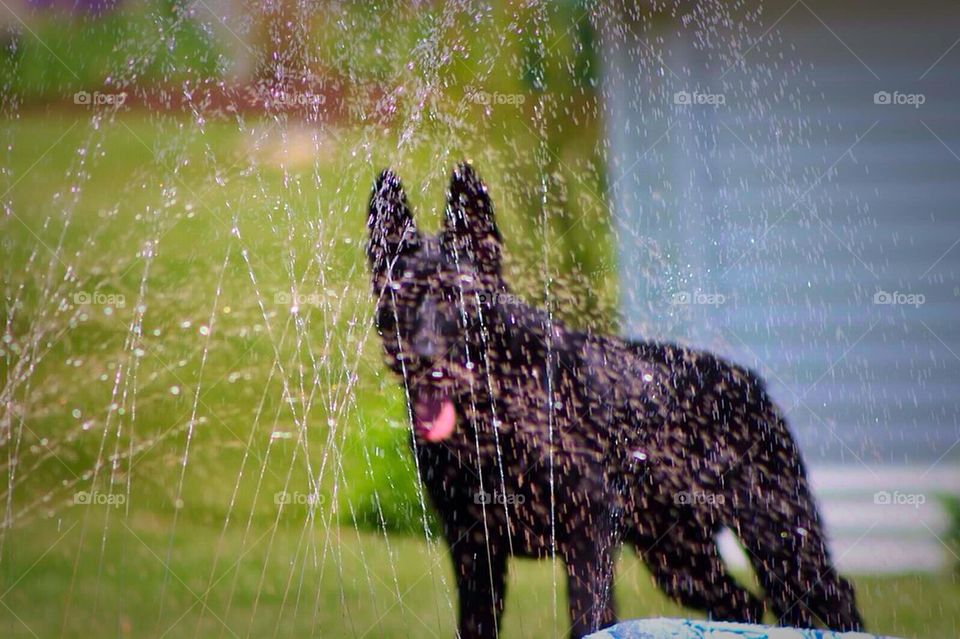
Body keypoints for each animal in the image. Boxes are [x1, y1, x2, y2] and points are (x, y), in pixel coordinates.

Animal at [364, 165, 860, 639]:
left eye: (457, 297)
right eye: (400, 298)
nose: (423, 360)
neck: (496, 412)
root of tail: (750, 380)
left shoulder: (589, 535)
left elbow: (590, 620)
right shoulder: (473, 551)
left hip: (778, 538)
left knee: (835, 597)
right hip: (677, 557)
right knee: (744, 604)